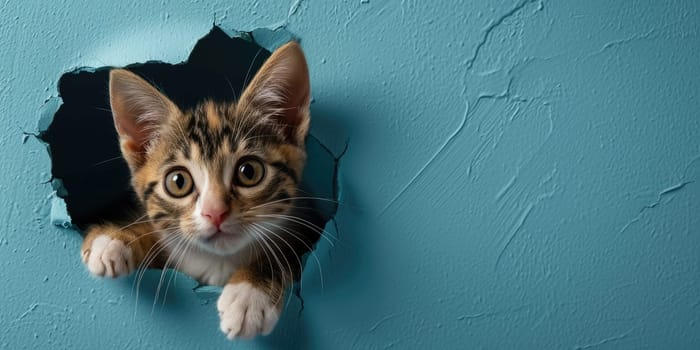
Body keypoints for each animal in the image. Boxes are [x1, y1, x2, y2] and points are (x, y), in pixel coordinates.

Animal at [81, 41, 320, 340]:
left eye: (249, 172)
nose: (214, 213)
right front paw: (114, 238)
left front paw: (250, 294)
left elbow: (286, 251)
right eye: (178, 182)